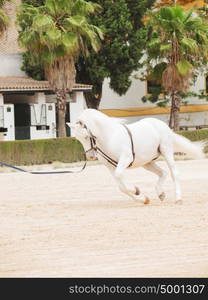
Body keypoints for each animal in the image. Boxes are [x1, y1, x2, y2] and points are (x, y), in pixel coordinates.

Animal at [68, 109, 205, 205]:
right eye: (78, 139)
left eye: (86, 136)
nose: (90, 156)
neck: (110, 137)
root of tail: (160, 124)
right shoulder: (110, 166)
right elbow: (121, 187)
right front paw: (143, 198)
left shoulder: (125, 159)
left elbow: (120, 178)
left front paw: (136, 190)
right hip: (147, 162)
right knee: (163, 173)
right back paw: (161, 194)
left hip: (166, 151)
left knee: (174, 173)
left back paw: (178, 199)